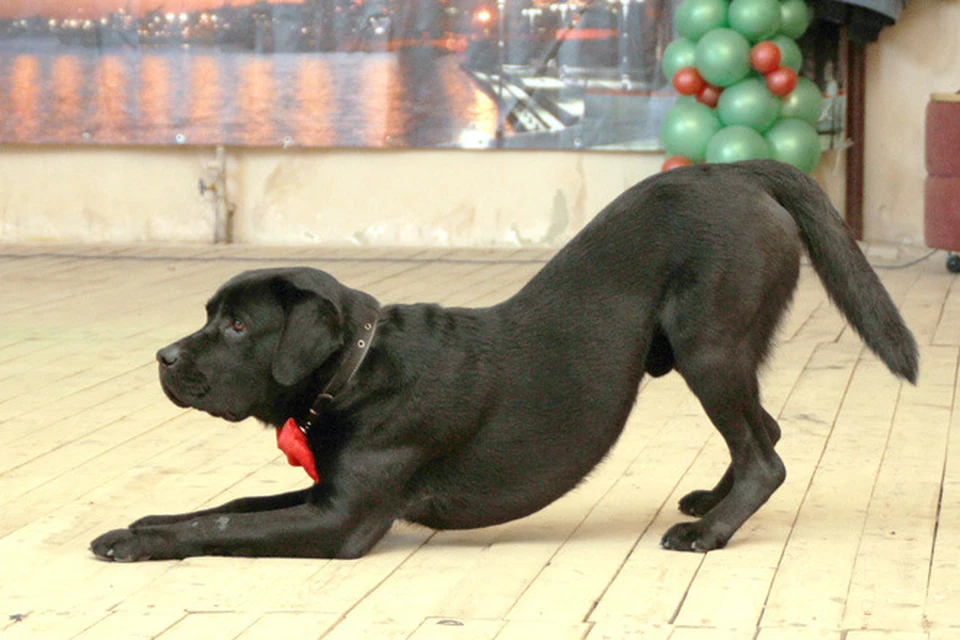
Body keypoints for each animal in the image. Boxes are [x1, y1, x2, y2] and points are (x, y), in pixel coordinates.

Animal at [88, 160, 916, 560]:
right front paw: (145, 521)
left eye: (234, 327)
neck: (357, 373)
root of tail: (739, 171)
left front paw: (136, 542)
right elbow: (226, 507)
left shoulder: (343, 518)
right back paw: (709, 506)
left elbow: (226, 525)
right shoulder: (323, 492)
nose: (163, 356)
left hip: (709, 345)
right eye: (208, 317)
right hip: (716, 352)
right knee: (761, 435)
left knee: (764, 456)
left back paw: (708, 534)